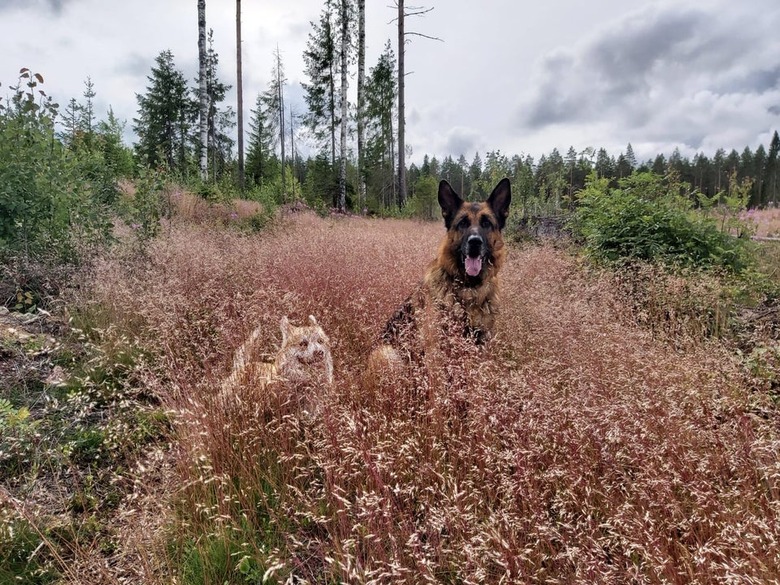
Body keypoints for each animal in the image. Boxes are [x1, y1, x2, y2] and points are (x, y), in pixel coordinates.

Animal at [378, 178, 512, 362]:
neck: (469, 288)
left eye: (486, 223)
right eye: (462, 223)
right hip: (388, 353)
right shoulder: (435, 351)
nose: (475, 242)